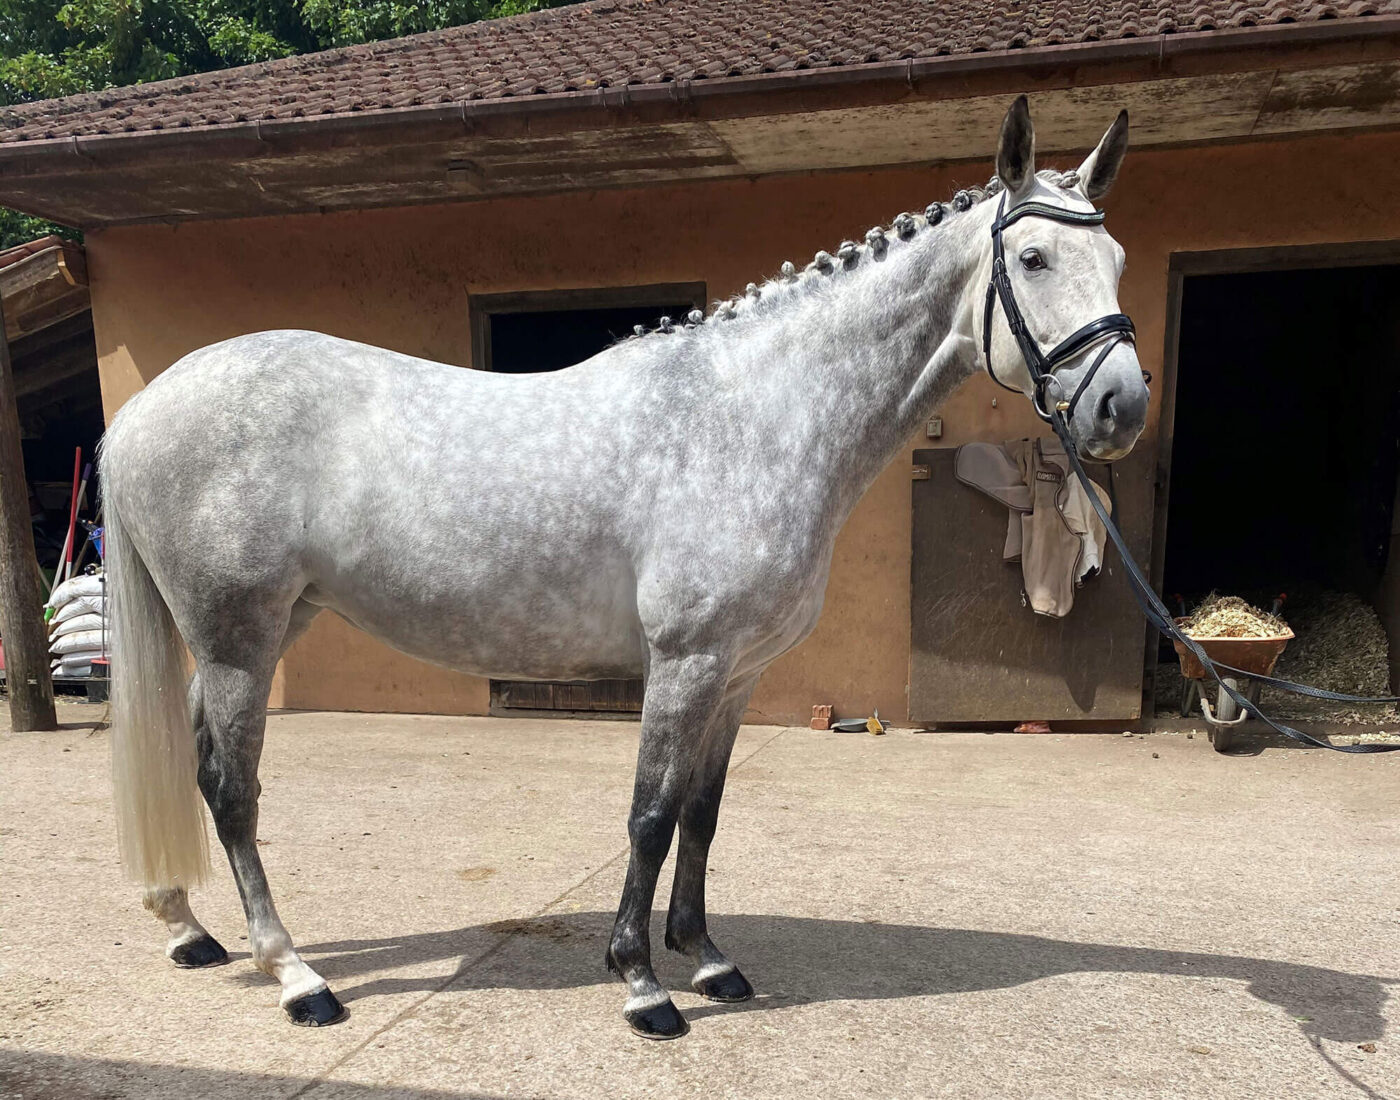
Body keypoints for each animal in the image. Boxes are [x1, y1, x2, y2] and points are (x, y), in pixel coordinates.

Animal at [101, 96, 1148, 1035]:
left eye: (1119, 263)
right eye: (1033, 258)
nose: (1122, 408)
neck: (753, 414)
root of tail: (144, 410)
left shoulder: (738, 673)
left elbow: (702, 813)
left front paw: (709, 959)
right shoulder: (684, 663)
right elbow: (649, 814)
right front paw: (643, 985)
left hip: (264, 629)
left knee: (197, 761)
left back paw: (188, 929)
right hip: (238, 637)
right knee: (230, 790)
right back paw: (296, 977)